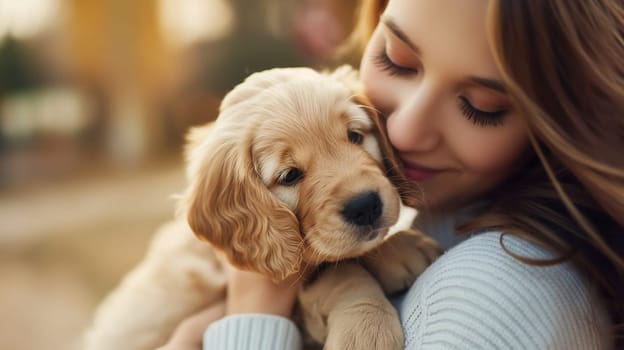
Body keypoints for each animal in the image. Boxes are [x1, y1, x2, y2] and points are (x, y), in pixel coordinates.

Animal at [84, 66, 444, 350]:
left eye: (355, 136)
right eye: (289, 176)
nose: (365, 206)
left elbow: (341, 255)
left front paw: (401, 248)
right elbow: (339, 271)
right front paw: (366, 328)